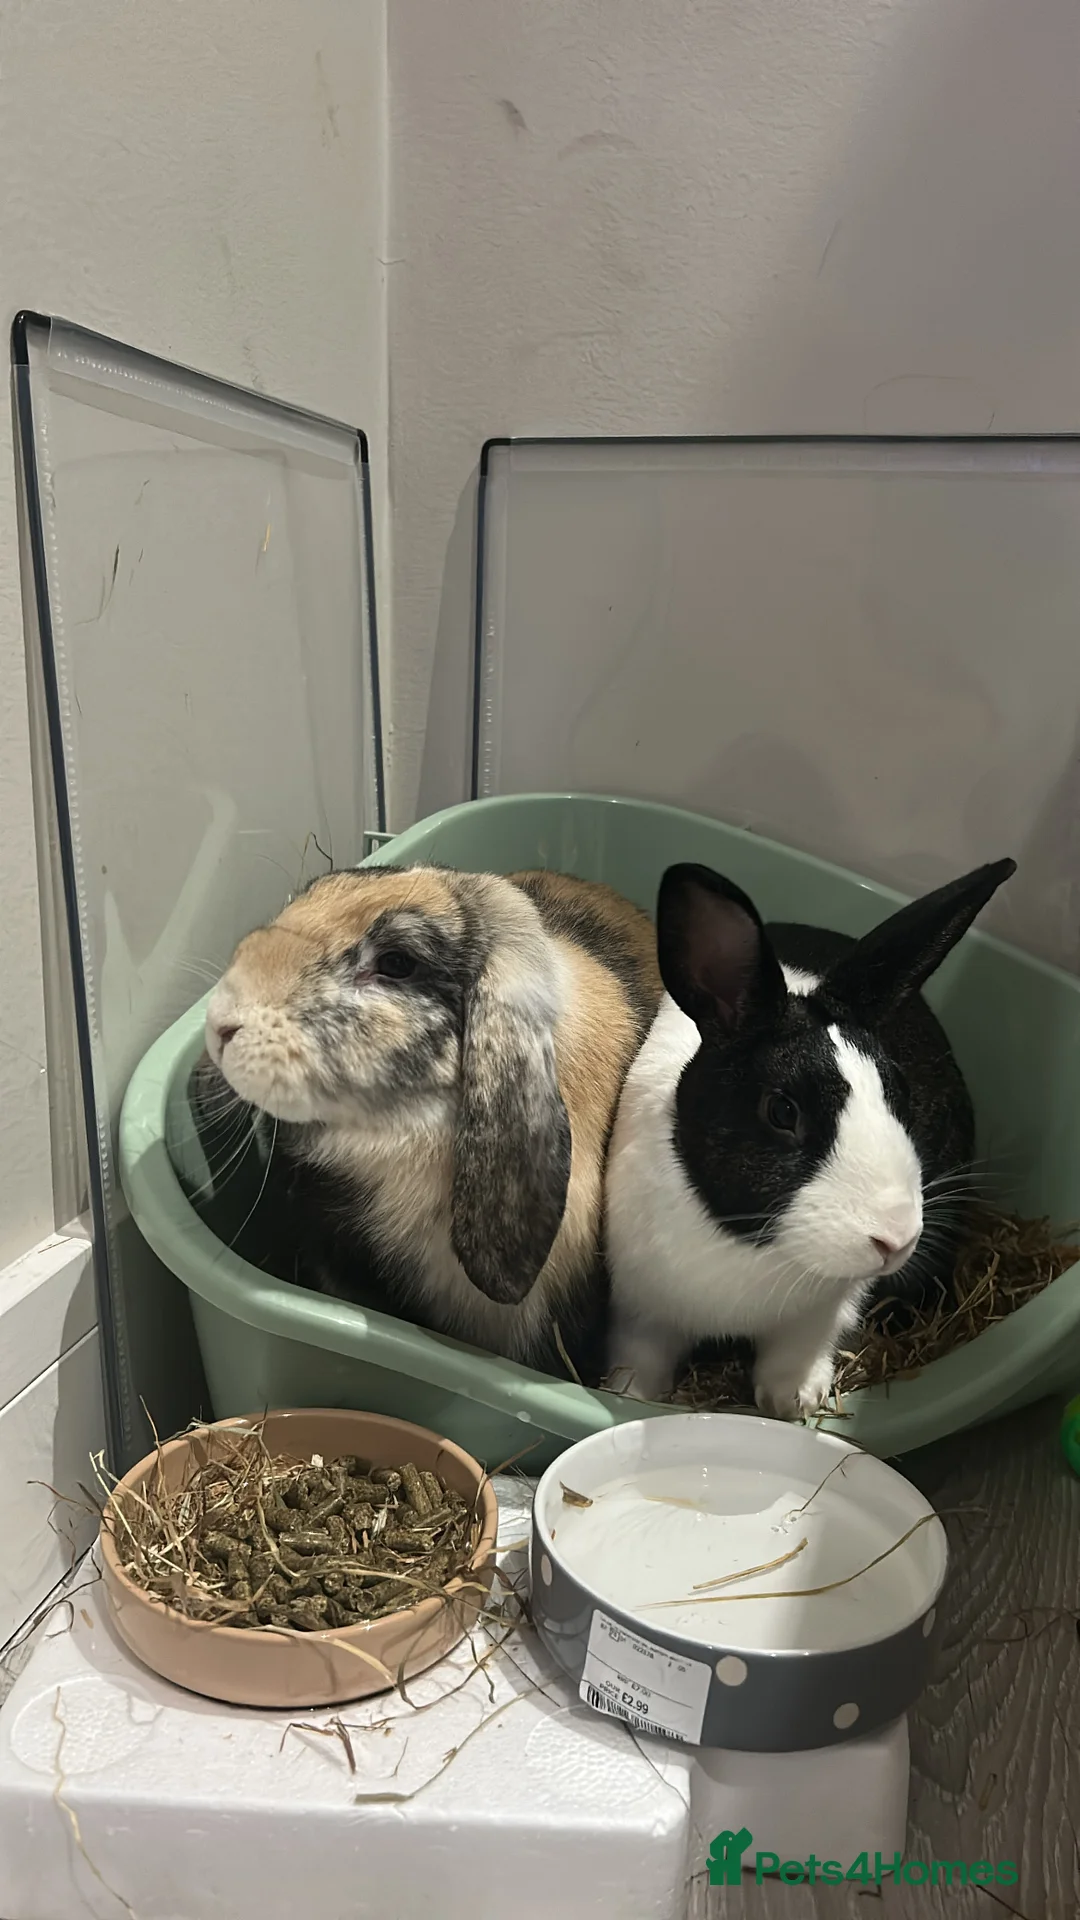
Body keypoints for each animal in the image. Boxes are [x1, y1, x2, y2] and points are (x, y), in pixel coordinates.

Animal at [604, 856, 1016, 1418]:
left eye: (899, 1090)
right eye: (782, 1111)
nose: (897, 1240)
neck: (747, 1242)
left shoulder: (829, 1307)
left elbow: (800, 1349)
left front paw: (793, 1401)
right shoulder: (641, 1309)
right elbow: (640, 1359)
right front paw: (626, 1393)